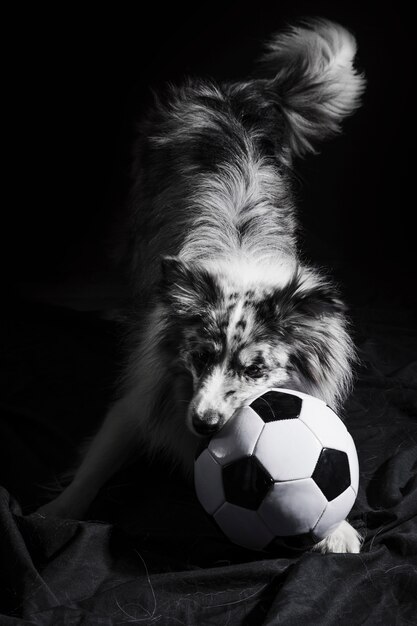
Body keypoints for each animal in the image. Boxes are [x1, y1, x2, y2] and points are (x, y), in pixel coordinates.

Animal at [39, 18, 364, 552]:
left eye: (256, 370)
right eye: (199, 355)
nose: (203, 424)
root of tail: (237, 89)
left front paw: (337, 528)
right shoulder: (143, 386)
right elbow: (100, 457)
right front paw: (57, 513)